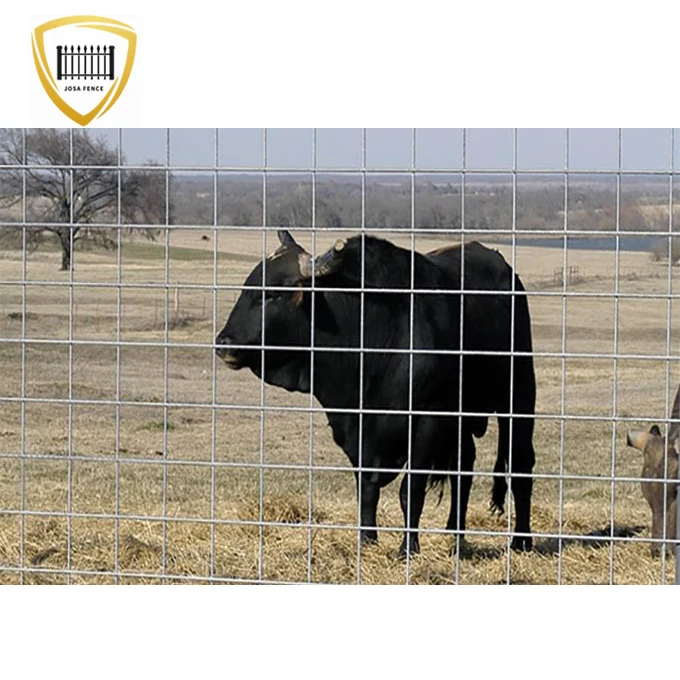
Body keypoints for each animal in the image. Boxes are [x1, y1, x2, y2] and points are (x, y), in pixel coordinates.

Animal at [215, 230, 537, 558]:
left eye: (272, 294)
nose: (224, 343)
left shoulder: (427, 421)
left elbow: (411, 490)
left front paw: (408, 548)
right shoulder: (355, 430)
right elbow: (367, 491)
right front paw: (367, 540)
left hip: (519, 396)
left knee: (520, 465)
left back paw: (521, 540)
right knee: (464, 465)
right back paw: (454, 536)